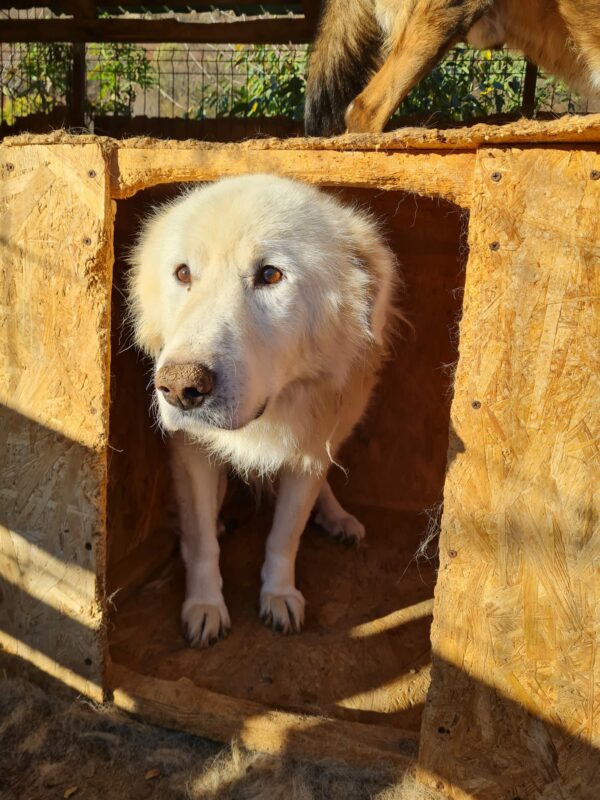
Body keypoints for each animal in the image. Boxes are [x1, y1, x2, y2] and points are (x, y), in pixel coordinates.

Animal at [129, 173, 396, 644]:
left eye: (270, 274)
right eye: (183, 273)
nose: (179, 388)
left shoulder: (310, 452)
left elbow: (284, 536)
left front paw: (279, 596)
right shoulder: (190, 451)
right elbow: (201, 541)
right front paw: (204, 606)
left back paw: (338, 518)